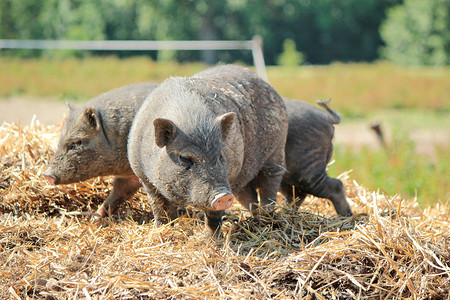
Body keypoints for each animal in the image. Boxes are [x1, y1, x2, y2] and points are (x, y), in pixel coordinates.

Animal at [42, 82, 158, 218]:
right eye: (59, 140)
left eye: (76, 143)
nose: (46, 174)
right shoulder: (128, 176)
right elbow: (119, 192)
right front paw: (96, 217)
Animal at [127, 65, 288, 237]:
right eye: (184, 158)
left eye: (220, 155)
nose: (223, 195)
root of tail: (266, 84)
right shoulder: (144, 179)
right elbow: (159, 208)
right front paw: (162, 229)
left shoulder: (227, 179)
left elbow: (214, 216)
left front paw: (211, 240)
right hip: (245, 171)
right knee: (248, 194)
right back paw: (253, 218)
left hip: (277, 148)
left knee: (271, 179)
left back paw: (267, 217)